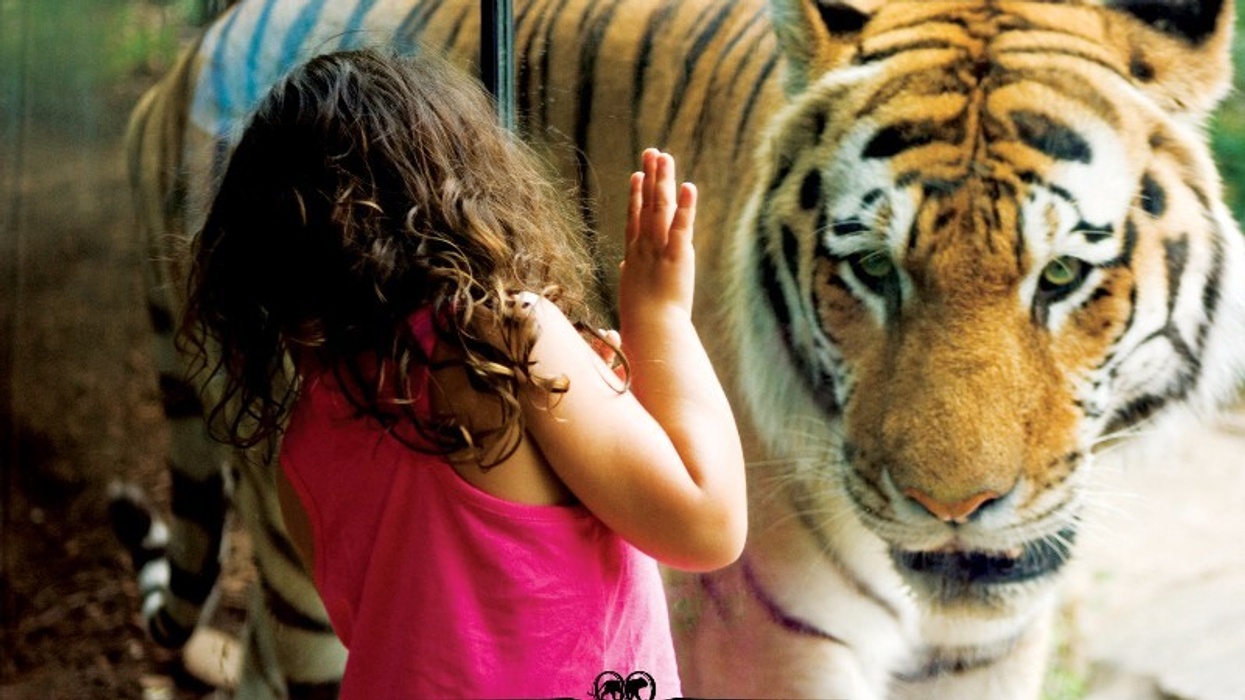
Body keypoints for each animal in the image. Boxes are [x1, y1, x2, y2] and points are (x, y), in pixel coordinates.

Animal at [114, 0, 1245, 698]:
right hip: (285, 538)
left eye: (1061, 278)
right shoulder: (767, 640)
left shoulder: (989, 652)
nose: (953, 508)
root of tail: (186, 59)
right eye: (871, 270)